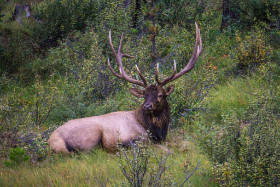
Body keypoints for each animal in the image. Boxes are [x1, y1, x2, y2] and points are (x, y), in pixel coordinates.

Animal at [47, 23, 201, 153]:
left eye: (160, 95)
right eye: (144, 95)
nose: (147, 106)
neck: (155, 131)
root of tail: (51, 142)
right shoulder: (128, 138)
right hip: (91, 134)